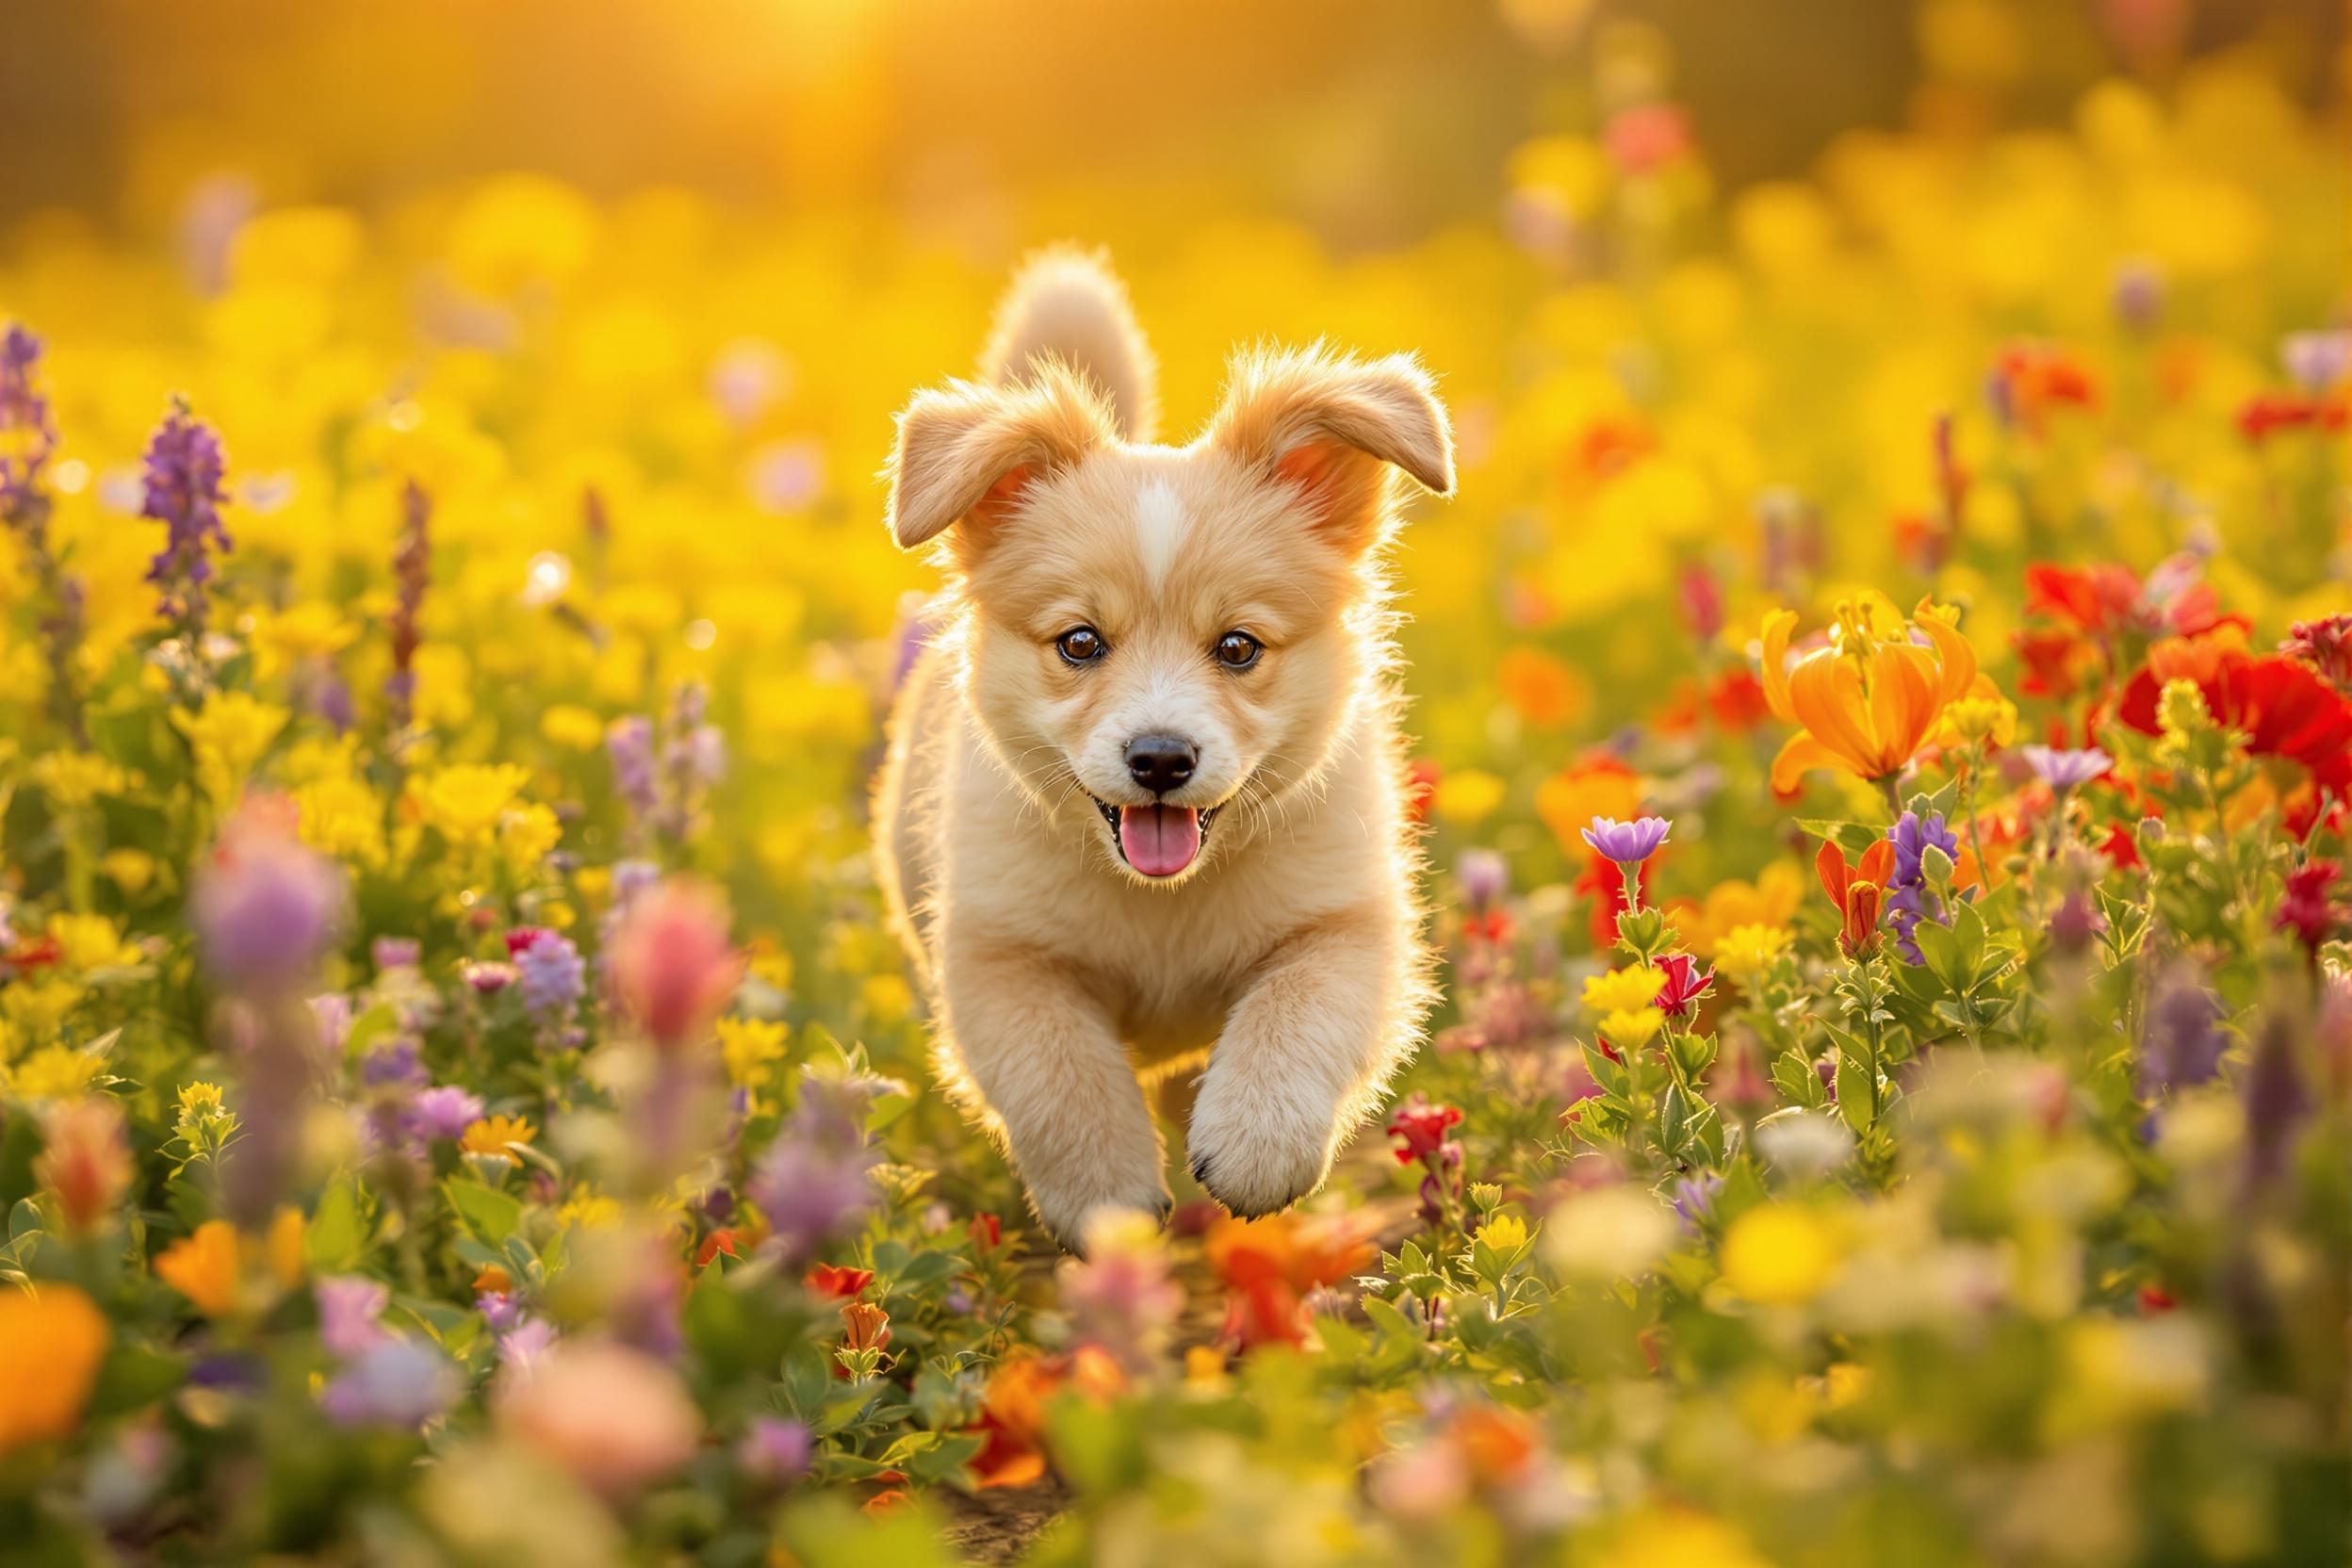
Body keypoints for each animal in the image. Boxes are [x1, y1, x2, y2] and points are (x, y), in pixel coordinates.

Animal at [870, 248, 1439, 1250]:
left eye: (1239, 647)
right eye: (1080, 643)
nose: (1163, 760)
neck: (1162, 904)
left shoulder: (1348, 925)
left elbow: (1300, 1016)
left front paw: (1256, 1148)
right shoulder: (1000, 958)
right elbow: (1060, 1076)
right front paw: (1109, 1197)